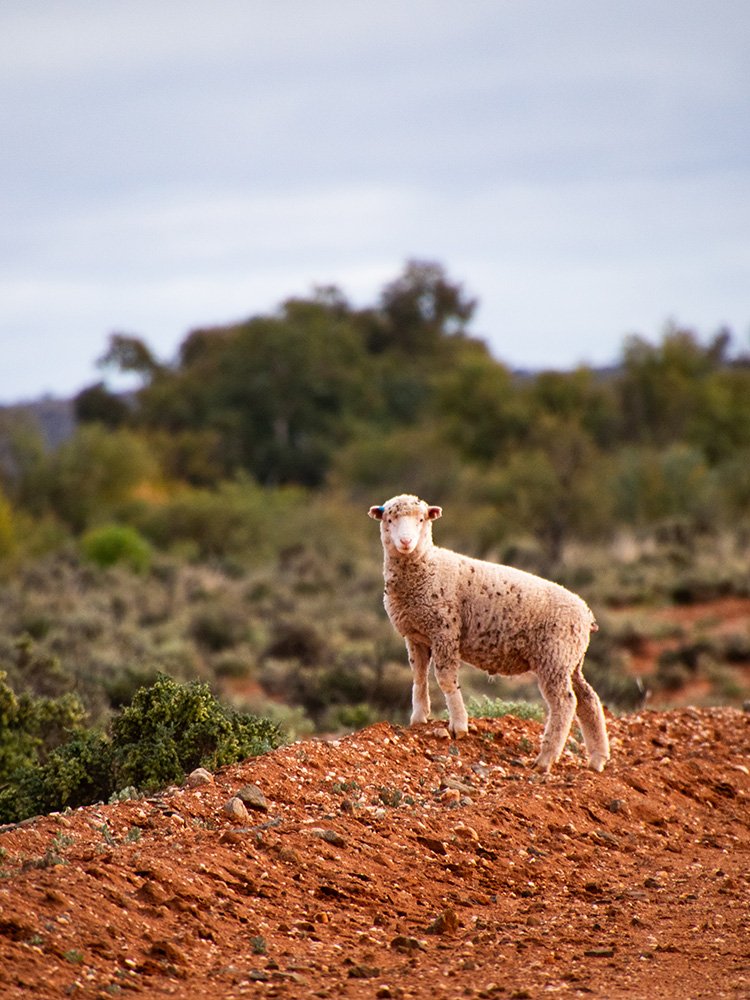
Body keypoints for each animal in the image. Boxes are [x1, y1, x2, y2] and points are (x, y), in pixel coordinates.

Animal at [369, 494, 610, 773]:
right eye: (389, 519)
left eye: (421, 519)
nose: (406, 542)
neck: (428, 567)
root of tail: (586, 613)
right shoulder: (415, 635)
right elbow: (418, 677)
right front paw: (418, 719)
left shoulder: (445, 631)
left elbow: (446, 679)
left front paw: (459, 726)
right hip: (571, 660)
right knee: (588, 700)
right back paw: (597, 758)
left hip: (555, 656)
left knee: (565, 702)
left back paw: (546, 759)